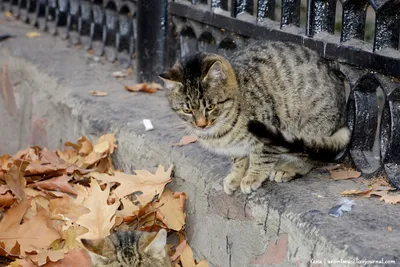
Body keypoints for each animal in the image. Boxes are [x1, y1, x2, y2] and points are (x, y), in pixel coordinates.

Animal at [160, 41, 350, 195]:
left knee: (310, 154)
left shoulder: (268, 129)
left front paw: (253, 177)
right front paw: (236, 176)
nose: (201, 125)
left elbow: (262, 156)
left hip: (308, 125)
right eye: (187, 110)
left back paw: (288, 168)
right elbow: (239, 159)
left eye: (211, 107)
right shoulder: (236, 147)